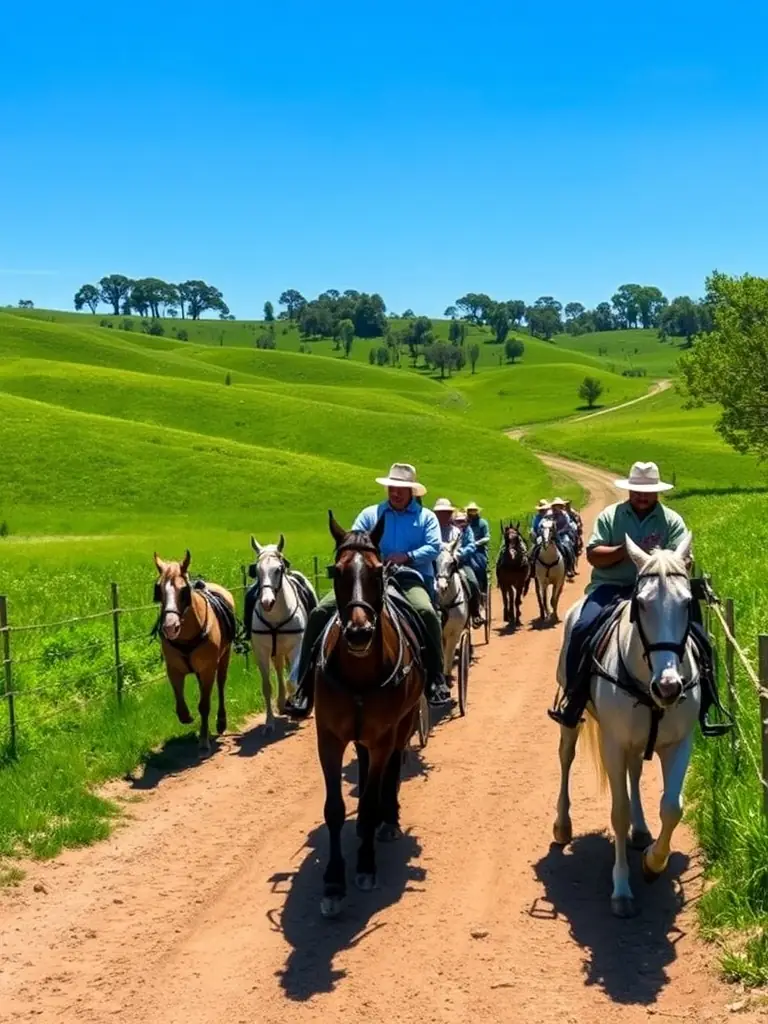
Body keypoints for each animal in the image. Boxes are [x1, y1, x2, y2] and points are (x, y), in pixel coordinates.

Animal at [153, 550, 236, 753]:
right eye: (159, 589)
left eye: (184, 590)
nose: (170, 627)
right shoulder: (174, 669)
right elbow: (180, 706)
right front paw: (188, 717)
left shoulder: (207, 670)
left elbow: (204, 705)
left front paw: (204, 739)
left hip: (224, 657)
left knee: (221, 685)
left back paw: (221, 721)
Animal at [246, 534, 317, 734]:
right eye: (257, 571)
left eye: (278, 569)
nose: (266, 602)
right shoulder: (261, 651)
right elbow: (267, 687)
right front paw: (270, 722)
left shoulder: (298, 647)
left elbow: (293, 682)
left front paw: (295, 702)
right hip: (276, 651)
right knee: (279, 669)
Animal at [315, 512, 425, 919]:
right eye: (336, 571)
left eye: (378, 571)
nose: (359, 633)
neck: (359, 674)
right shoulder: (329, 739)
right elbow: (335, 809)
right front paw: (333, 882)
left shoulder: (381, 737)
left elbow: (367, 802)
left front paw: (364, 865)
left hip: (403, 725)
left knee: (390, 770)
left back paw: (387, 819)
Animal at [435, 537, 470, 678]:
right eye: (435, 562)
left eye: (451, 563)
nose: (441, 587)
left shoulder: (454, 633)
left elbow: (448, 657)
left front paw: (447, 675)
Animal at [552, 532, 700, 918]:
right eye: (642, 604)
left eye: (687, 603)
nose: (669, 687)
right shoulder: (614, 744)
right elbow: (617, 812)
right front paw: (621, 889)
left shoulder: (679, 743)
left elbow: (672, 807)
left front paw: (653, 862)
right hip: (572, 723)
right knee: (565, 758)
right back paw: (562, 825)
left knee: (635, 772)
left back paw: (641, 830)